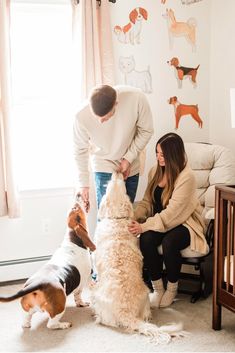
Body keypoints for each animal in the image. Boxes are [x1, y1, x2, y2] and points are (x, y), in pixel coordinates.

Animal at [0, 197, 96, 328]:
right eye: (76, 210)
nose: (77, 198)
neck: (72, 239)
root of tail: (38, 284)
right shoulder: (81, 283)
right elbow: (78, 296)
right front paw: (81, 304)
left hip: (26, 309)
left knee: (26, 320)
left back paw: (27, 324)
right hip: (60, 305)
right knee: (51, 324)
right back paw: (64, 324)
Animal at [91, 172, 185, 342]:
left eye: (115, 184)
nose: (117, 172)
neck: (116, 219)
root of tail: (126, 312)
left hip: (98, 297)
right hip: (145, 295)